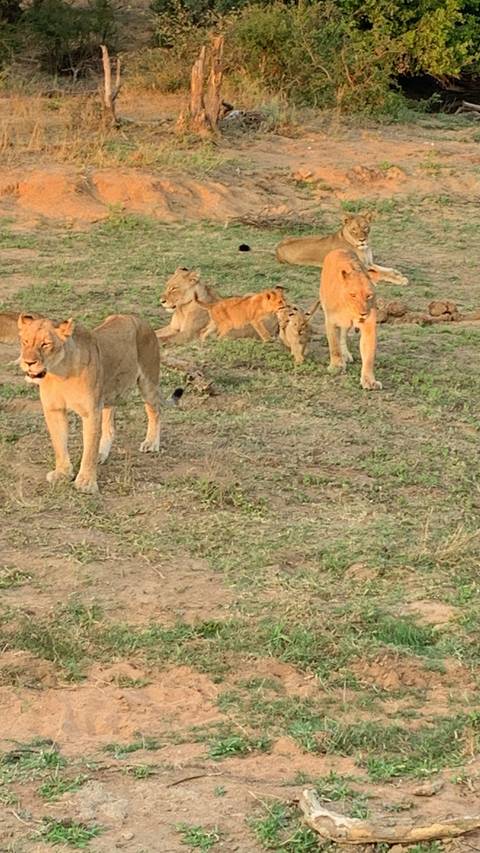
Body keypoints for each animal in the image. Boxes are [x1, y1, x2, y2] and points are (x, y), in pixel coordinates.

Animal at [18, 313, 165, 494]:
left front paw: (86, 483)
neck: (60, 374)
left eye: (45, 344)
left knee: (155, 410)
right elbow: (59, 444)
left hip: (148, 381)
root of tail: (136, 318)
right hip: (108, 393)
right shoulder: (54, 410)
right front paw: (62, 474)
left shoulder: (91, 412)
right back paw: (102, 454)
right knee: (109, 427)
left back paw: (151, 443)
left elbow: (89, 449)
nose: (28, 362)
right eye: (25, 342)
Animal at [276, 213, 408, 286]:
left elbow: (383, 269)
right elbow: (381, 273)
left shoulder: (368, 263)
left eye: (365, 227)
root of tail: (277, 247)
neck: (362, 248)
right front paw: (400, 279)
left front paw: (396, 272)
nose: (362, 240)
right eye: (354, 229)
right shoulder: (358, 268)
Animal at [320, 248, 382, 391]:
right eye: (353, 295)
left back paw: (346, 355)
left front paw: (369, 380)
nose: (363, 313)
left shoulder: (369, 326)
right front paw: (336, 366)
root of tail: (339, 249)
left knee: (343, 335)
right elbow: (334, 345)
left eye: (369, 295)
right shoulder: (331, 321)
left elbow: (369, 355)